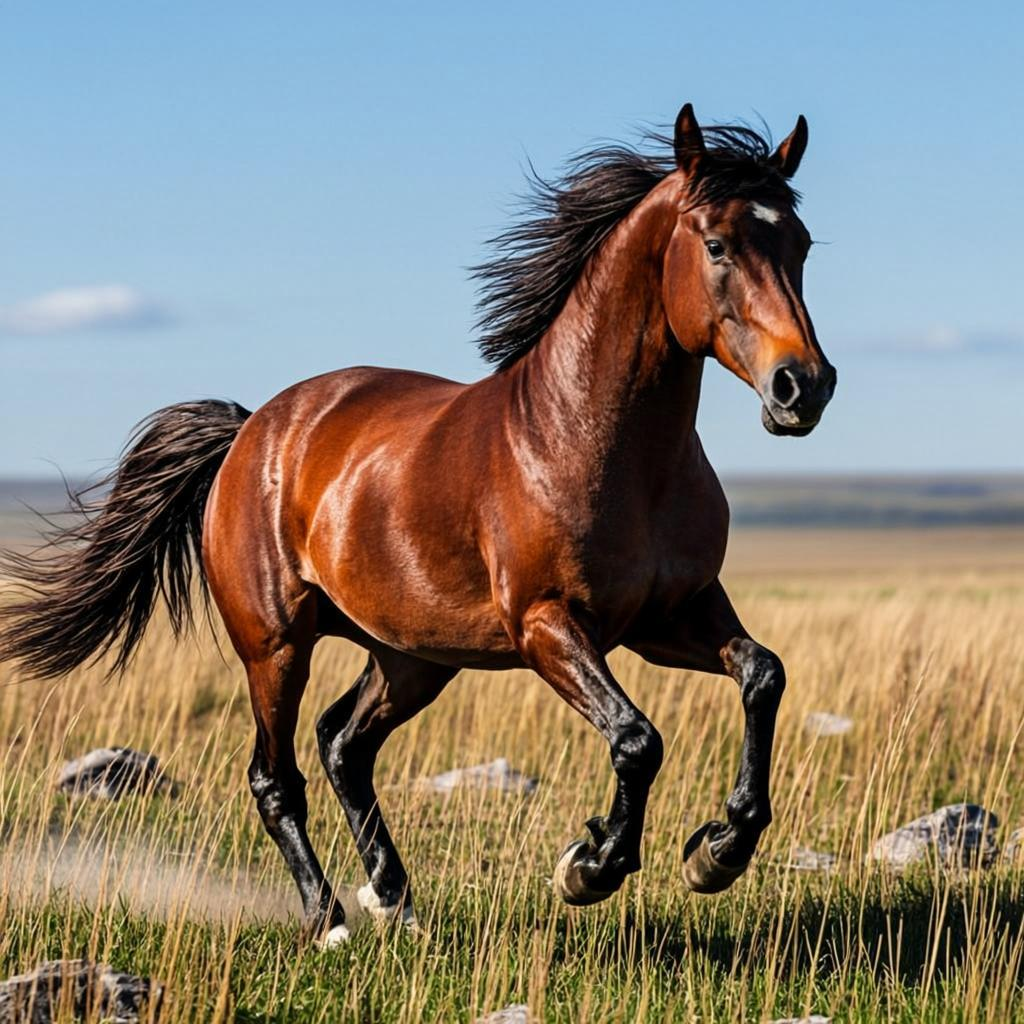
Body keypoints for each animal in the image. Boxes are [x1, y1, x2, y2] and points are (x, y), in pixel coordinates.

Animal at [0, 103, 835, 946]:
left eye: (800, 243)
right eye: (717, 244)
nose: (804, 387)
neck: (596, 440)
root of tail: (250, 431)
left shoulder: (671, 615)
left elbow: (763, 675)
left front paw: (719, 850)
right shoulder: (548, 626)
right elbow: (637, 739)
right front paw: (591, 866)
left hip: (411, 656)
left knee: (343, 744)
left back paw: (393, 897)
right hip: (276, 647)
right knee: (276, 775)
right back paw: (329, 919)